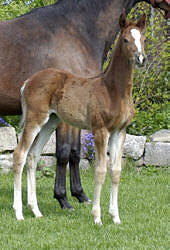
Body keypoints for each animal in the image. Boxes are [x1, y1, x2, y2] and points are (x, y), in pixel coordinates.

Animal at [12, 13, 146, 225]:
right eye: (126, 39)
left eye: (143, 39)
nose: (141, 58)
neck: (113, 90)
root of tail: (28, 82)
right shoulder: (100, 131)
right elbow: (100, 171)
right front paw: (97, 217)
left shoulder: (120, 132)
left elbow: (116, 171)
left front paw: (115, 217)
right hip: (35, 120)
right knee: (20, 155)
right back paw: (19, 213)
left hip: (50, 122)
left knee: (33, 156)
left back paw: (36, 210)